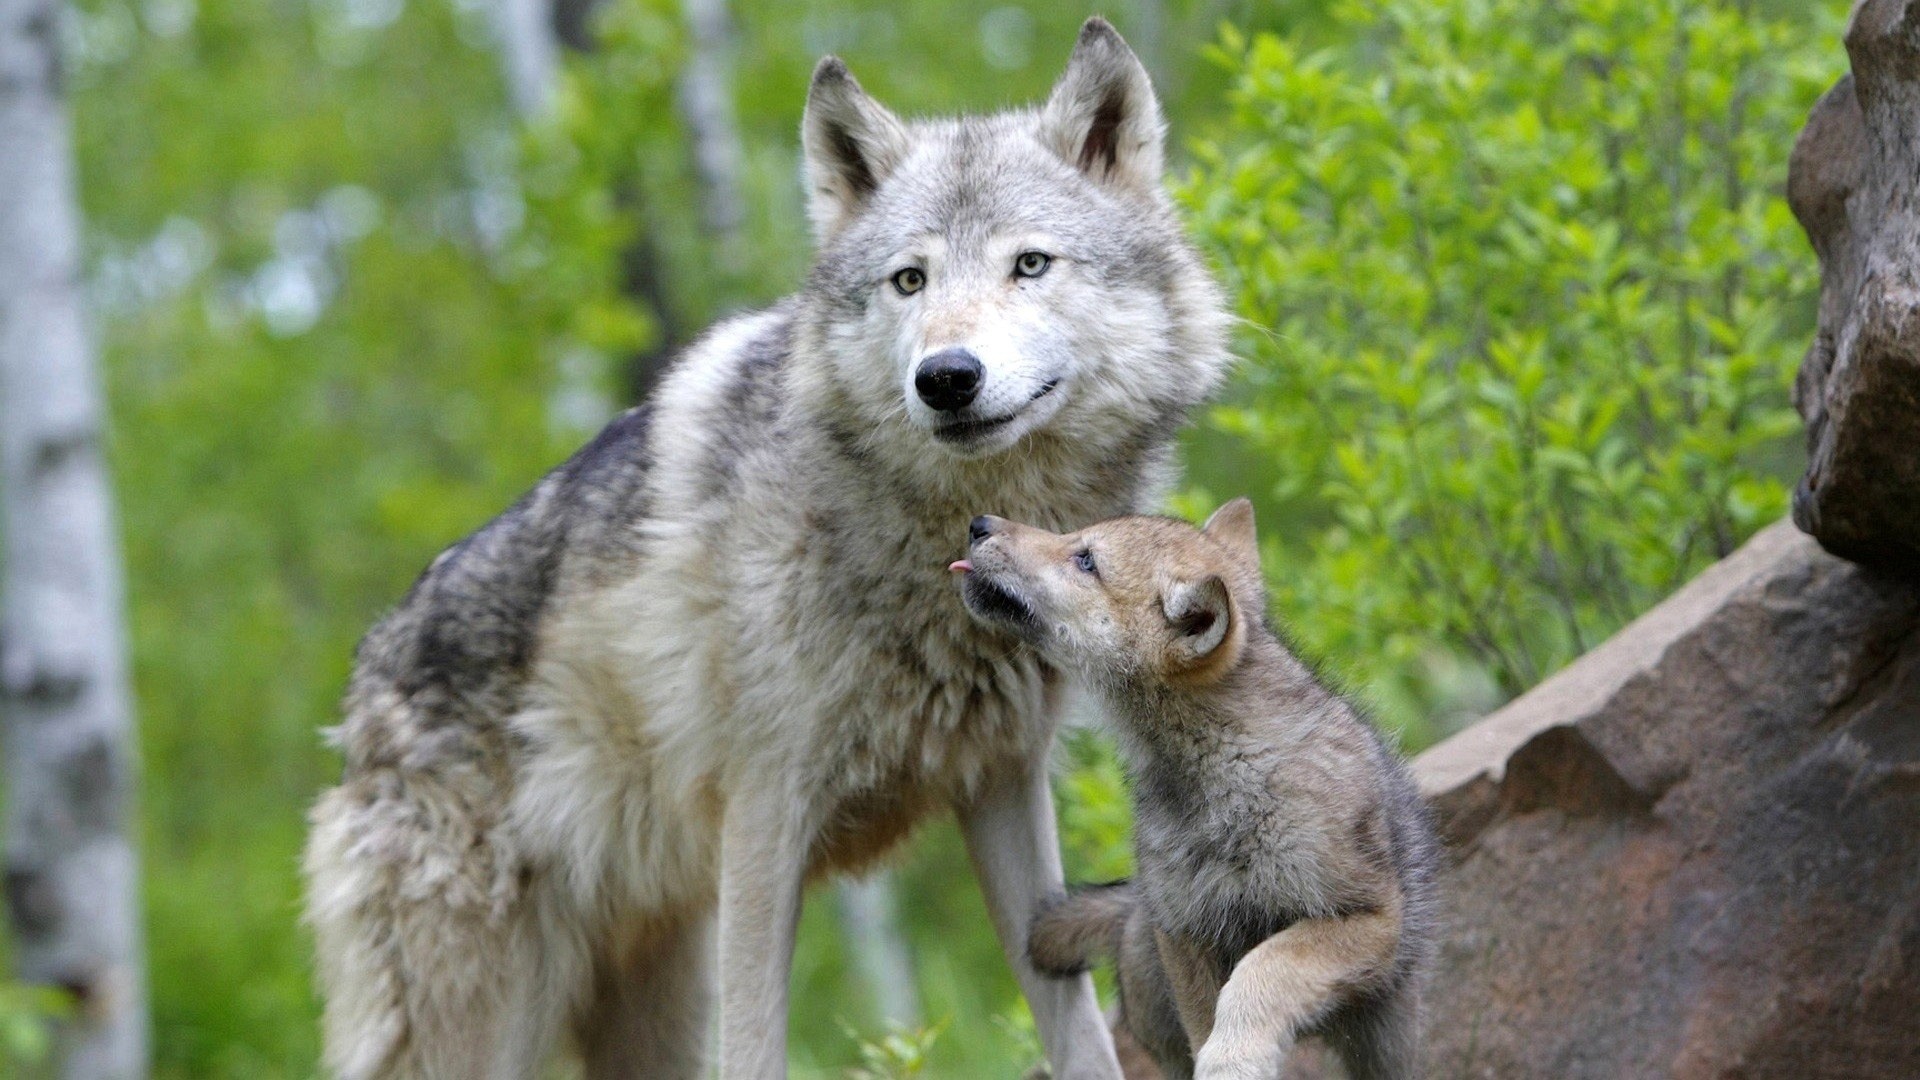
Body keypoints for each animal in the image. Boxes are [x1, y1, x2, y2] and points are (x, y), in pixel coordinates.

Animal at [302, 18, 1230, 1080]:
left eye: (1029, 265)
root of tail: (361, 690)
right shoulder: (761, 819)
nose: (945, 377)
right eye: (909, 279)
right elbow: (756, 1046)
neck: (930, 543)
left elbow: (1073, 1029)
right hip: (489, 1016)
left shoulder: (1001, 784)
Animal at [954, 501, 1438, 1080]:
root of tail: (1133, 906)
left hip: (1387, 1040)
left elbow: (1264, 968)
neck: (1223, 771)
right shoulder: (1186, 934)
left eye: (1086, 559)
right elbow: (1209, 1018)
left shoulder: (1365, 918)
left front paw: (1235, 1056)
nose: (978, 523)